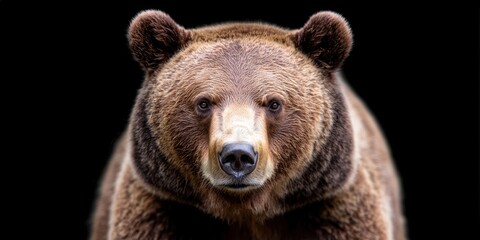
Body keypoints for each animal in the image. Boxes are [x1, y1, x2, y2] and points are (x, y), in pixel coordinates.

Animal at [90, 9, 404, 240]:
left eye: (274, 103)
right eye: (203, 102)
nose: (238, 155)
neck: (247, 211)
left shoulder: (333, 207)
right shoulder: (160, 208)